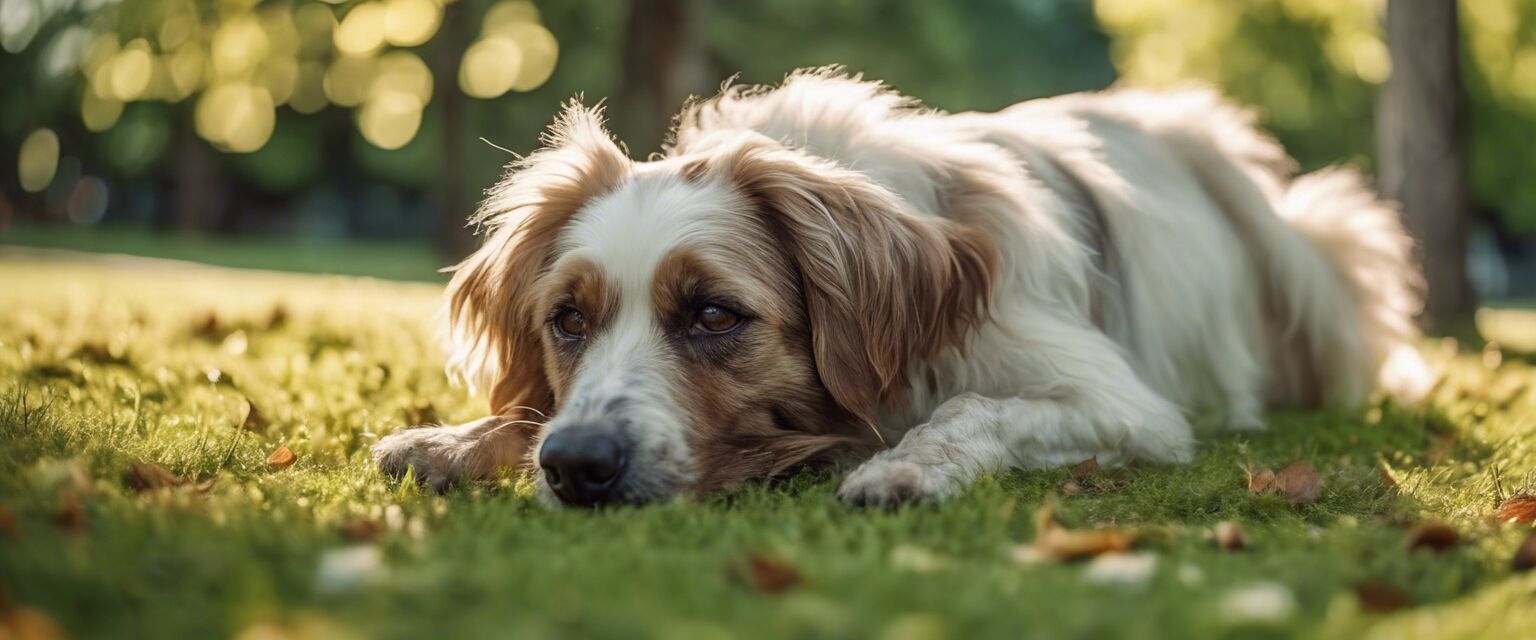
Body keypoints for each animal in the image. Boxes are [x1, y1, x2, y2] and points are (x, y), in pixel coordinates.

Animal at [371, 67, 1425, 506]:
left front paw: (907, 467)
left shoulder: (1123, 404)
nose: (578, 466)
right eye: (567, 321)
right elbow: (526, 410)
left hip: (1323, 249)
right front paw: (457, 439)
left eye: (713, 314)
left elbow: (973, 408)